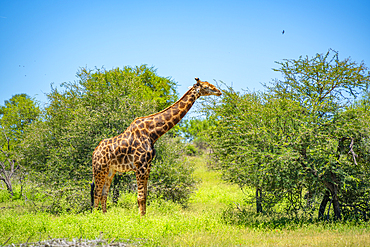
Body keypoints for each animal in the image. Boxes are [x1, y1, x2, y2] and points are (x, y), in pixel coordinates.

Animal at [91, 78, 221, 215]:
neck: (152, 133)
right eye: (206, 87)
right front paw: (141, 218)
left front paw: (144, 217)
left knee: (104, 194)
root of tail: (94, 153)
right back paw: (96, 217)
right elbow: (140, 197)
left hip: (110, 171)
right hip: (99, 169)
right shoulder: (140, 165)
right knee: (97, 193)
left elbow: (145, 195)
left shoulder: (148, 166)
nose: (219, 91)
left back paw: (105, 216)